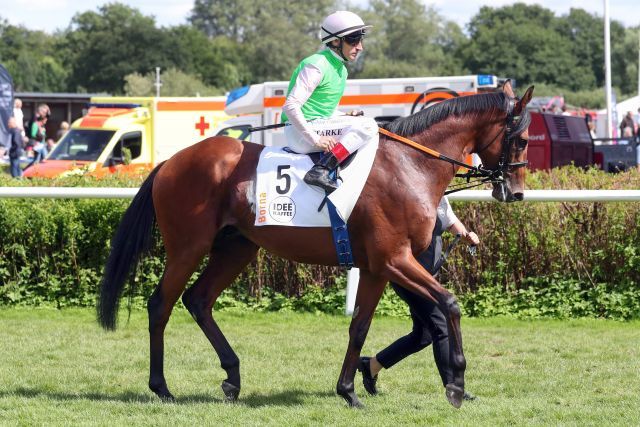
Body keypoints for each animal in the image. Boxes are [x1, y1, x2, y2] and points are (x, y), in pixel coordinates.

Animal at [97, 82, 532, 410]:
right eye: (524, 139)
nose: (516, 193)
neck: (408, 165)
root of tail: (170, 161)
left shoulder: (377, 267)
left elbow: (360, 327)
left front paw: (350, 391)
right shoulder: (395, 259)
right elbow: (450, 303)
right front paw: (456, 382)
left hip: (237, 248)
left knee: (198, 300)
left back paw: (232, 376)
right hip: (188, 247)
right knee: (161, 304)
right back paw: (161, 386)